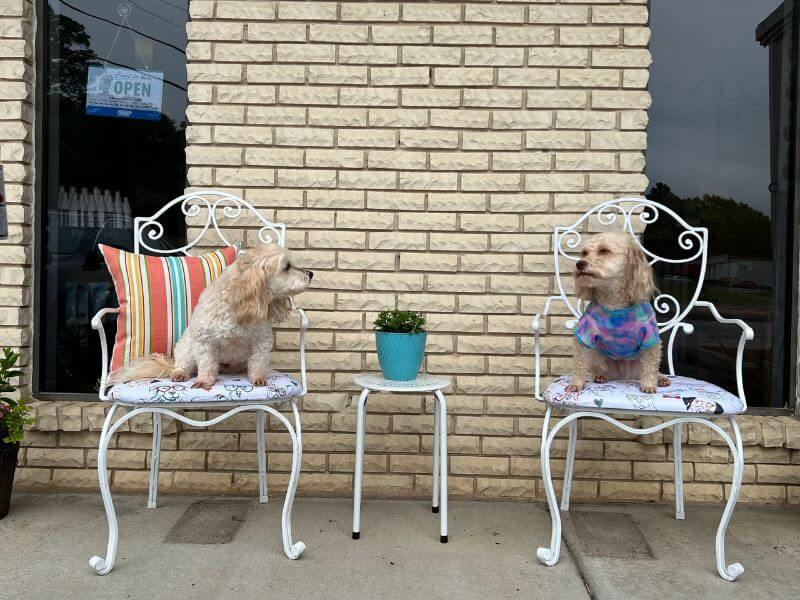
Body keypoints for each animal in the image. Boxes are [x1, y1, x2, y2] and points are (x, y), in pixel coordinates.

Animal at [109, 244, 312, 390]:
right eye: (287, 267)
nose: (310, 273)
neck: (238, 306)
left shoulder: (261, 341)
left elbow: (258, 363)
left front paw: (259, 378)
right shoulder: (204, 341)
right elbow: (206, 365)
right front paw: (205, 381)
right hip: (186, 347)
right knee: (182, 364)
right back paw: (180, 373)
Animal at [564, 232, 672, 396]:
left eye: (604, 251)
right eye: (584, 253)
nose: (579, 264)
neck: (614, 304)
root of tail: (624, 376)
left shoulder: (650, 339)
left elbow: (650, 366)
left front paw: (649, 385)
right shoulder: (584, 334)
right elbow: (579, 362)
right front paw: (576, 384)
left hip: (637, 366)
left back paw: (661, 378)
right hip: (600, 360)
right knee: (597, 369)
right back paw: (600, 376)